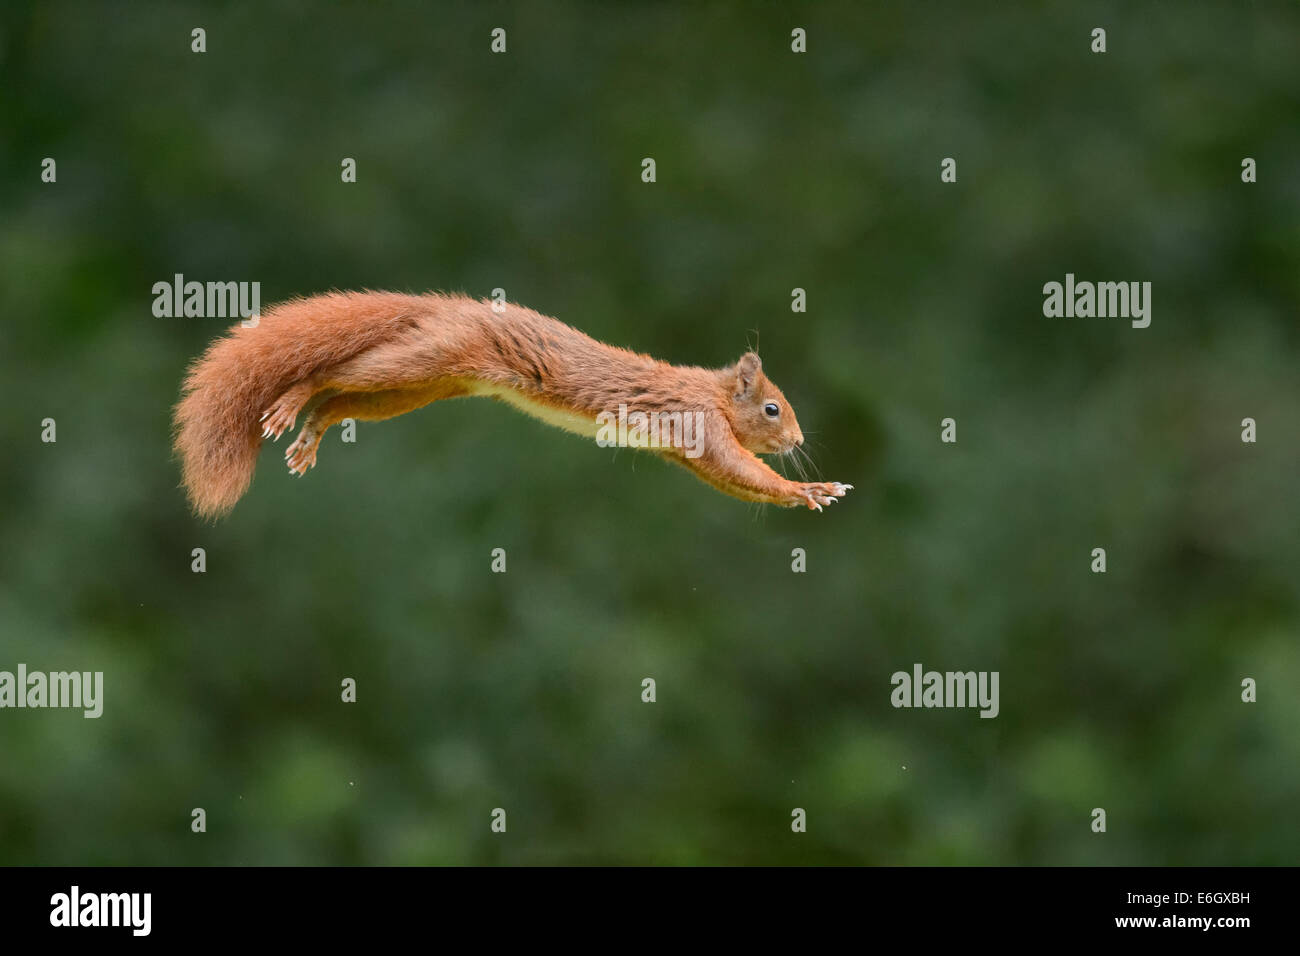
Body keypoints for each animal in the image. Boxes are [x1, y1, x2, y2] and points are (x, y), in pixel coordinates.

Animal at [172, 291, 853, 519]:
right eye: (773, 409)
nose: (798, 442)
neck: (711, 391)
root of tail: (448, 308)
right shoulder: (701, 424)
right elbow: (740, 469)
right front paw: (808, 488)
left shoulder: (688, 452)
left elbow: (732, 481)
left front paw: (809, 490)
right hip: (421, 359)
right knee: (332, 372)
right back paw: (293, 399)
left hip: (419, 387)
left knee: (343, 398)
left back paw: (312, 430)